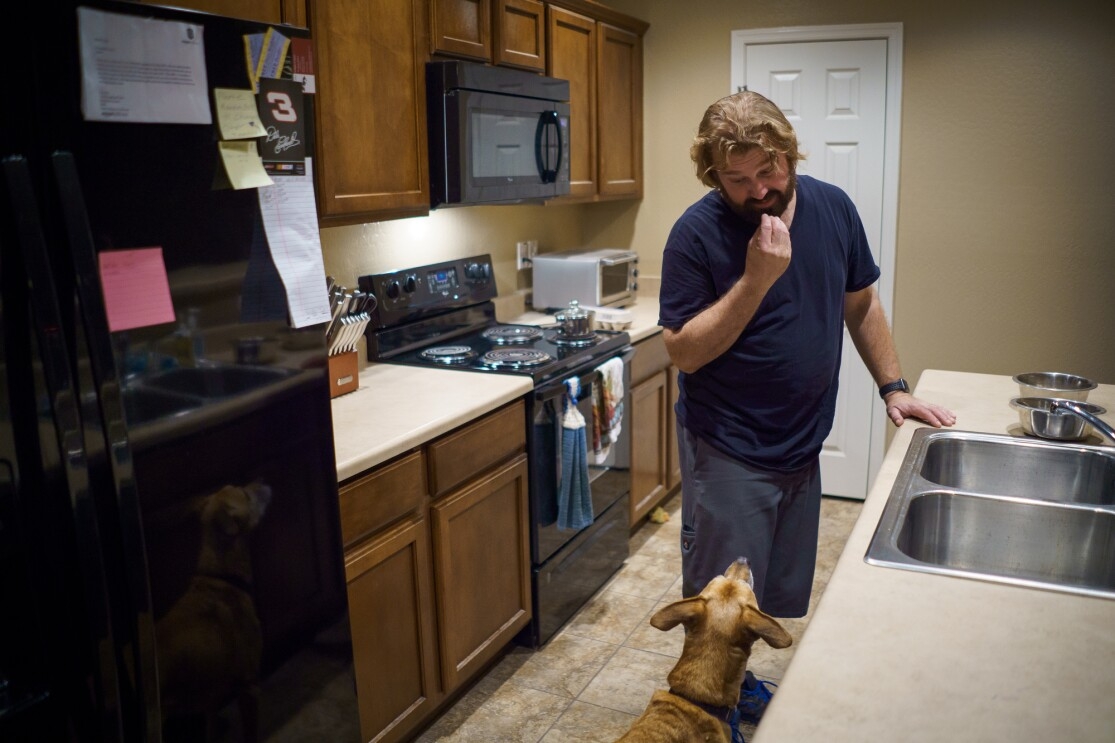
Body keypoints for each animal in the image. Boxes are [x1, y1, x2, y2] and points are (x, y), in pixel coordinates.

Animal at [156, 477, 273, 736]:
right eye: (245, 494)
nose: (262, 479)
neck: (222, 576)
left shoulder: (211, 695)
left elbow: (210, 724)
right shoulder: (249, 684)